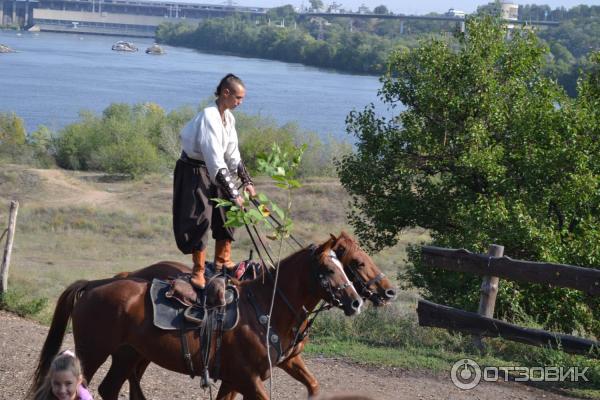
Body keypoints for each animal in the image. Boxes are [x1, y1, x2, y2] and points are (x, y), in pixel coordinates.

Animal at [35, 236, 364, 398]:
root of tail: (93, 285)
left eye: (344, 266)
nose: (357, 301)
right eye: (329, 269)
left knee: (110, 389)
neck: (264, 309)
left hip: (127, 354)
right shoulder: (247, 379)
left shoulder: (244, 376)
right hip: (92, 354)